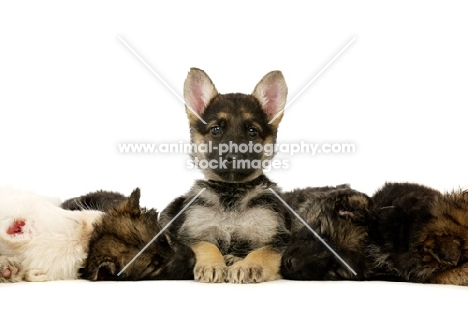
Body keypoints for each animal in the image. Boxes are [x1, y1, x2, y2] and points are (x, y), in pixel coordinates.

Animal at [159, 69, 290, 286]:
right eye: (216, 130)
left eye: (252, 131)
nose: (234, 157)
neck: (231, 192)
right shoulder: (193, 235)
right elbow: (207, 245)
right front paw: (212, 264)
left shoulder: (276, 238)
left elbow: (261, 252)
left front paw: (248, 265)